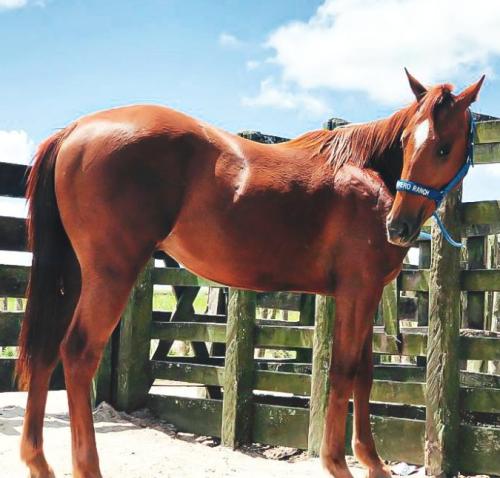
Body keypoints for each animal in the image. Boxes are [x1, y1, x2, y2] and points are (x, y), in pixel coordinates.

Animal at [17, 72, 482, 478]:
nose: (397, 226)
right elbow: (345, 372)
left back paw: (38, 462)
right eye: (407, 141)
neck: (366, 171)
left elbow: (365, 375)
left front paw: (373, 463)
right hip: (110, 273)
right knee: (78, 353)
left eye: (444, 148)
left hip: (75, 275)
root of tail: (76, 129)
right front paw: (338, 462)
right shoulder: (357, 292)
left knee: (45, 349)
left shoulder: (361, 296)